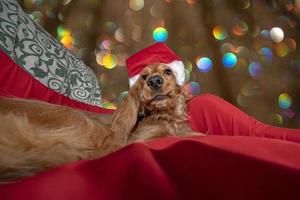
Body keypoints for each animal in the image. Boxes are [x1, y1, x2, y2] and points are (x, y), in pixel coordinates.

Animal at [0, 63, 200, 182]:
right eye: (144, 77)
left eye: (168, 71)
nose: (154, 81)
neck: (165, 115)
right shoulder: (136, 141)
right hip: (83, 123)